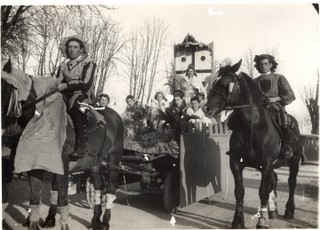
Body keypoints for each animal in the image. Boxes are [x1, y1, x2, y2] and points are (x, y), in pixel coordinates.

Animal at [1, 59, 124, 230]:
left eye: (6, 88)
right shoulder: (35, 165)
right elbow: (35, 198)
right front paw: (40, 221)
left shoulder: (63, 166)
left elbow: (62, 197)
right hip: (93, 163)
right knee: (99, 186)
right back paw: (95, 221)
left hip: (114, 160)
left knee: (111, 189)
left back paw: (105, 222)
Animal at [205, 60, 302, 229]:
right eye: (214, 82)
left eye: (225, 83)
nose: (207, 108)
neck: (252, 125)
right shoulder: (236, 161)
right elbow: (239, 191)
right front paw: (238, 221)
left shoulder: (267, 162)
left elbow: (262, 191)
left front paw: (262, 221)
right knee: (273, 180)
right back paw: (272, 210)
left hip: (294, 160)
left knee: (291, 183)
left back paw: (289, 211)